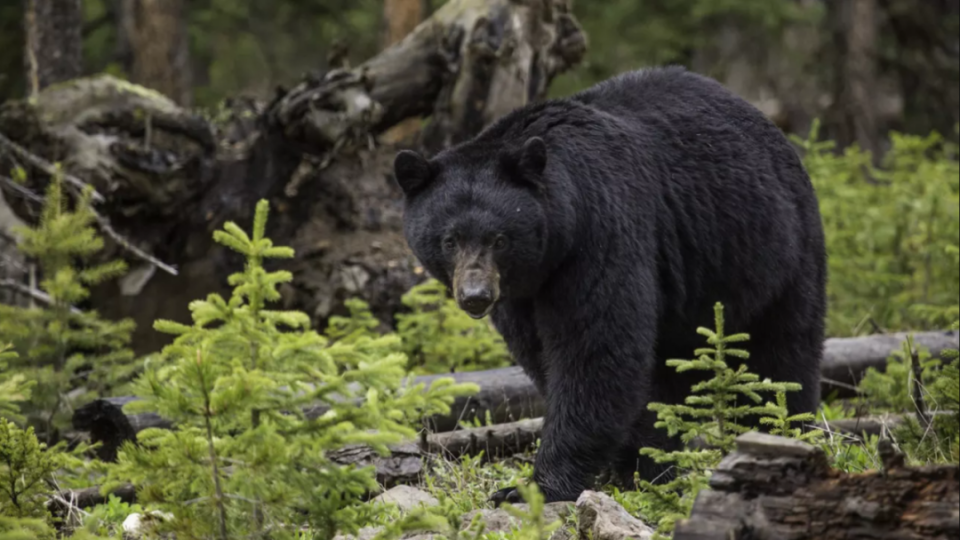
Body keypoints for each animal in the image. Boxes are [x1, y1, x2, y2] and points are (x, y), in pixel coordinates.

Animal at [394, 66, 828, 506]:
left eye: (499, 238)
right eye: (449, 240)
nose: (475, 297)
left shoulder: (601, 232)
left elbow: (596, 350)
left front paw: (533, 487)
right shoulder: (522, 293)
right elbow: (544, 354)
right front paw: (633, 463)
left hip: (775, 251)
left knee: (781, 356)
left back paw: (782, 431)